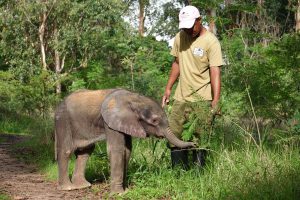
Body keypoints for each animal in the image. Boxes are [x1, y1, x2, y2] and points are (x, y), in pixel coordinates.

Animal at [54, 88, 195, 193]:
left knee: (85, 151)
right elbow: (117, 149)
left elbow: (127, 151)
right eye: (154, 120)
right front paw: (118, 194)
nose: (194, 143)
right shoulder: (110, 121)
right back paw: (68, 188)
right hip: (62, 120)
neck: (134, 99)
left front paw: (126, 189)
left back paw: (82, 186)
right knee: (66, 150)